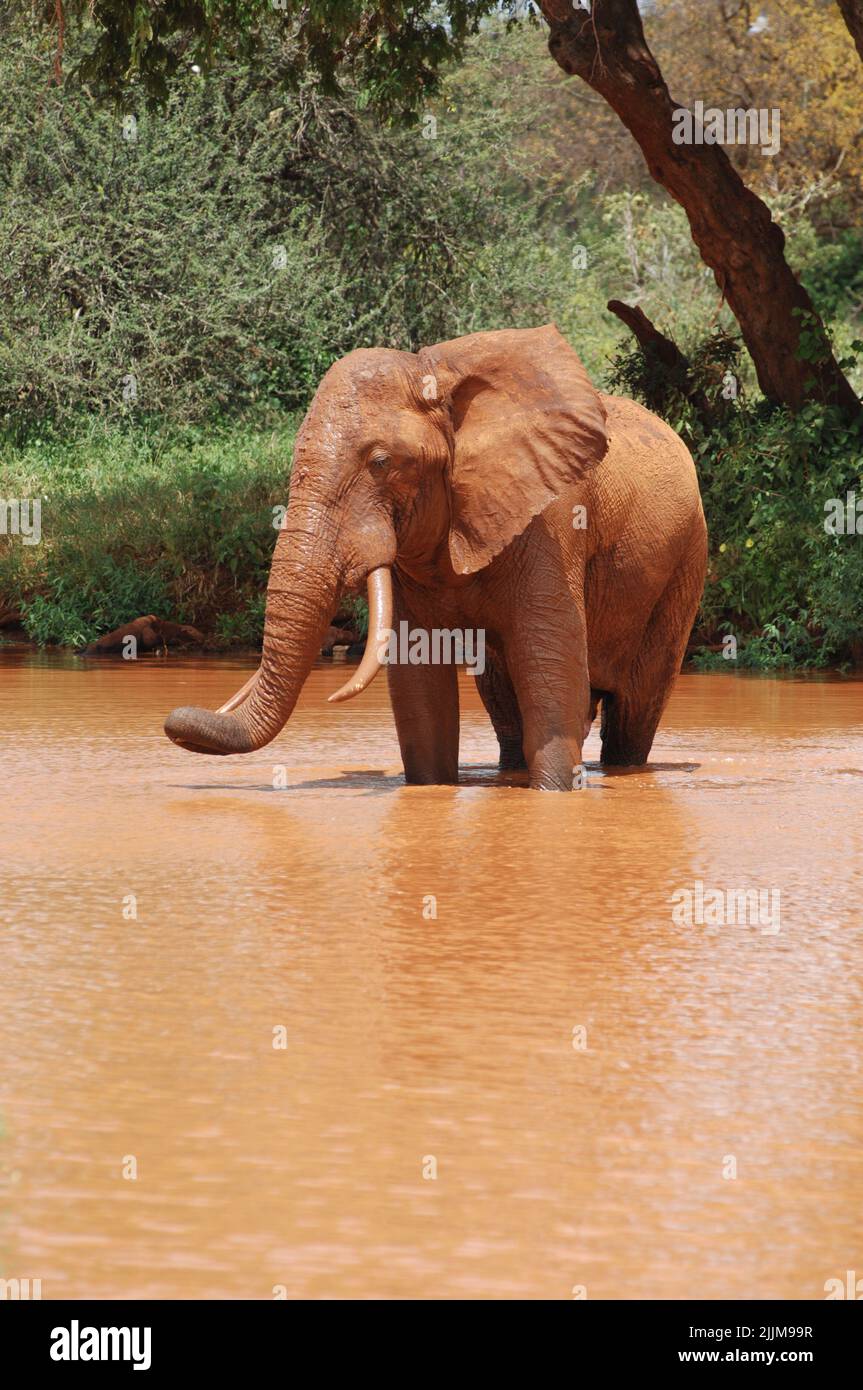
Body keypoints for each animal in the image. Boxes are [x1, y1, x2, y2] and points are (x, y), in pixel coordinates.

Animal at [163, 318, 705, 789]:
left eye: (381, 463)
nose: (176, 723)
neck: (433, 377)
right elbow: (419, 691)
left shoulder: (552, 520)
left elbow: (554, 682)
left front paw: (553, 799)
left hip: (684, 565)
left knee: (634, 712)